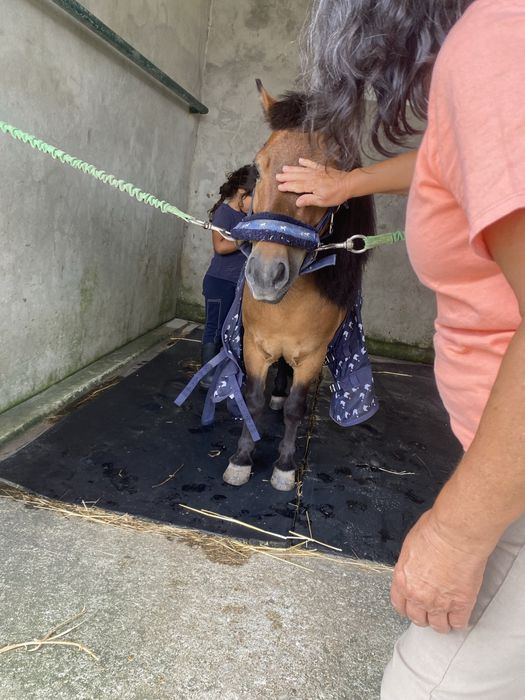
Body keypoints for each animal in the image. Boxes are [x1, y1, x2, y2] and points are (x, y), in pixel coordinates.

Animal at [222, 81, 376, 491]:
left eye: (328, 180)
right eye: (258, 168)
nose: (265, 273)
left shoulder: (312, 357)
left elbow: (296, 408)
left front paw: (285, 467)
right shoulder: (255, 346)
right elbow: (253, 399)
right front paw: (241, 459)